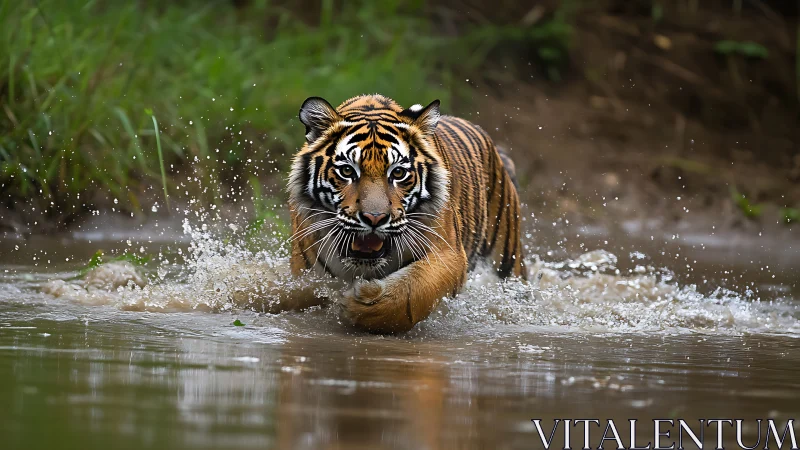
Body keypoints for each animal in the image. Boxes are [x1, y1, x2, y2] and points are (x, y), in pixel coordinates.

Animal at [286, 94, 526, 333]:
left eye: (398, 173)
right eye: (347, 171)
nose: (374, 218)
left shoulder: (450, 253)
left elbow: (414, 292)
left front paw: (365, 304)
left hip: (507, 263)